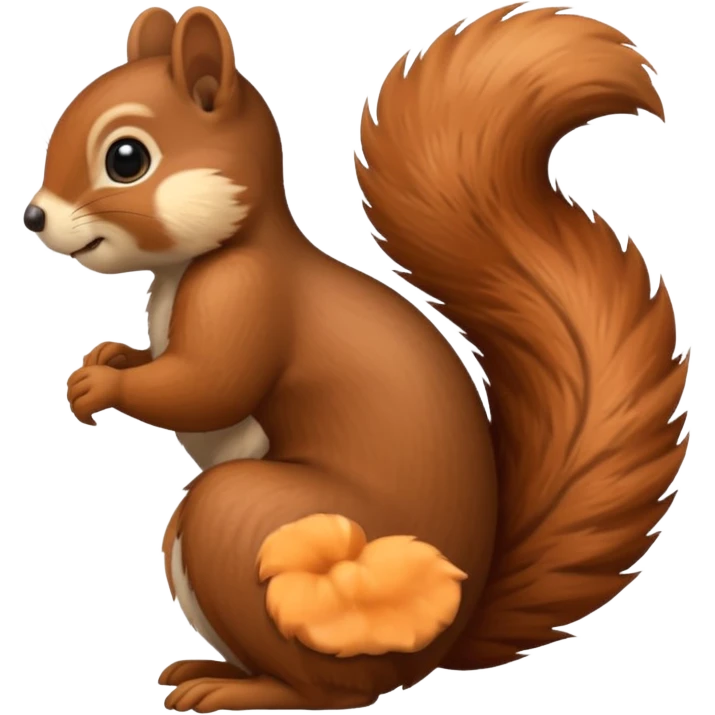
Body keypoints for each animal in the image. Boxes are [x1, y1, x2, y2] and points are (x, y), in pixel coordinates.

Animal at [25, 3, 688, 713]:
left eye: (126, 158)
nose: (33, 217)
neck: (198, 261)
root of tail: (439, 645)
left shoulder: (249, 297)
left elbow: (207, 387)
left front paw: (102, 389)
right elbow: (159, 363)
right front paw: (107, 359)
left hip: (249, 525)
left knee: (326, 688)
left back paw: (237, 689)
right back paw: (209, 669)